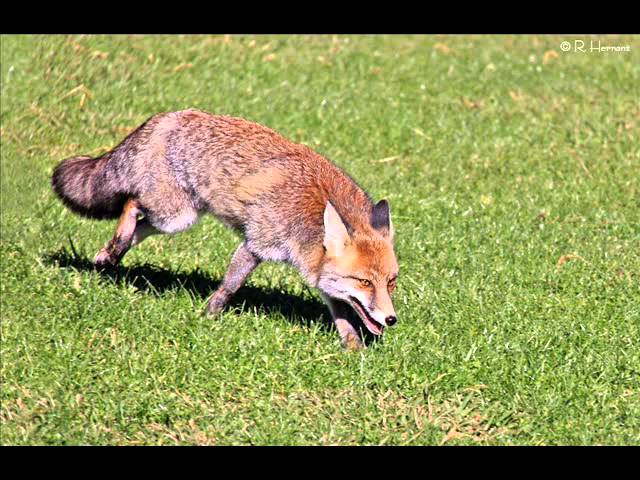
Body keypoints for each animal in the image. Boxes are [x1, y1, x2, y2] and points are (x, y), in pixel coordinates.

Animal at [51, 109, 400, 348]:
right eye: (365, 282)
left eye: (391, 283)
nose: (391, 319)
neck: (308, 218)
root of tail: (167, 117)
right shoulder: (256, 244)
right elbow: (230, 286)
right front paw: (209, 315)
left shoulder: (320, 275)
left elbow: (343, 317)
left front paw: (353, 350)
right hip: (172, 214)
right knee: (131, 204)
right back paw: (115, 246)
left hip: (178, 218)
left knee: (137, 224)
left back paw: (108, 256)